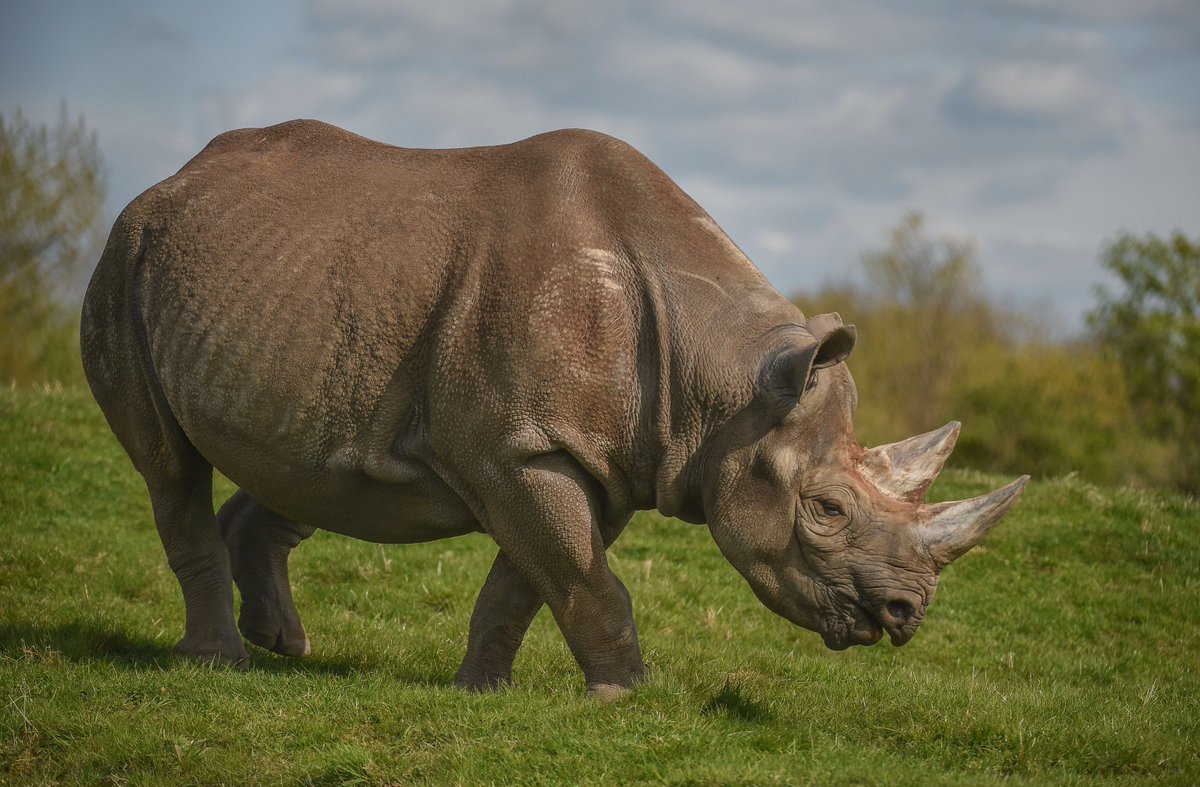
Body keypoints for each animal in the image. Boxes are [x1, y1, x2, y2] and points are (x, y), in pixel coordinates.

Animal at [81, 120, 1027, 697]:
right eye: (826, 509)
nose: (907, 615)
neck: (724, 385)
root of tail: (170, 181)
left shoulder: (602, 457)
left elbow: (539, 579)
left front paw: (480, 692)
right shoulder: (524, 446)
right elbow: (580, 578)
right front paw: (628, 699)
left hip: (291, 287)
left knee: (306, 465)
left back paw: (285, 648)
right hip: (126, 256)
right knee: (169, 466)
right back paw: (221, 665)